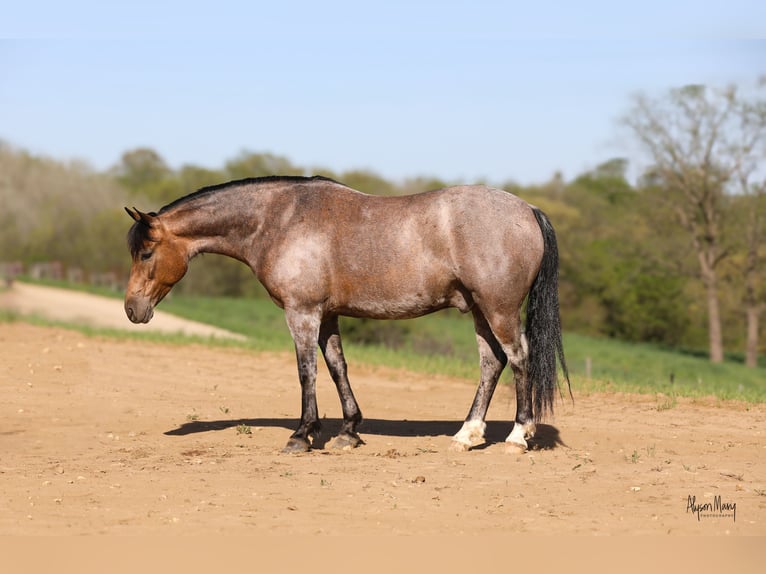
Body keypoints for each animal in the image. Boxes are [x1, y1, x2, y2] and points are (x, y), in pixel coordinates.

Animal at [124, 175, 570, 453]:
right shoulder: (327, 316)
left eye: (145, 253)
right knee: (491, 363)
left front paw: (302, 435)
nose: (131, 309)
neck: (279, 219)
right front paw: (349, 431)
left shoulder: (302, 313)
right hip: (479, 310)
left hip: (499, 309)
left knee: (518, 358)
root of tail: (528, 209)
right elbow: (338, 367)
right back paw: (466, 434)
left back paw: (517, 435)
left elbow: (307, 371)